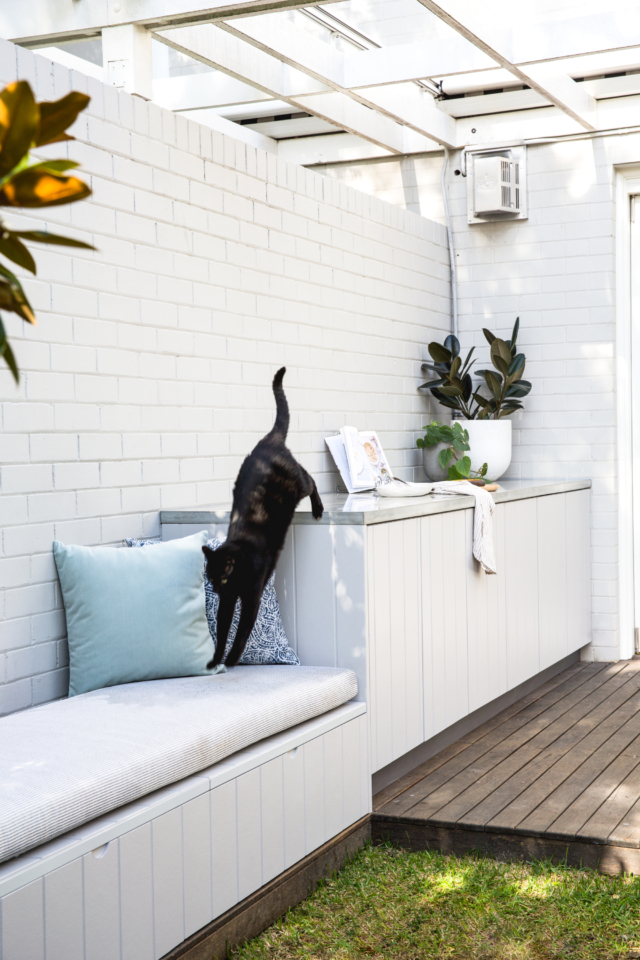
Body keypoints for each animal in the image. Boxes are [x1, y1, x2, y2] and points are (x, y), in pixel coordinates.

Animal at [202, 368, 322, 668]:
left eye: (221, 579)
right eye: (210, 577)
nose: (216, 589)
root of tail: (267, 441)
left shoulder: (251, 597)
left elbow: (242, 632)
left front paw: (232, 659)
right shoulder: (228, 602)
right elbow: (223, 631)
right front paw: (216, 660)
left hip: (298, 485)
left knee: (311, 479)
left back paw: (317, 508)